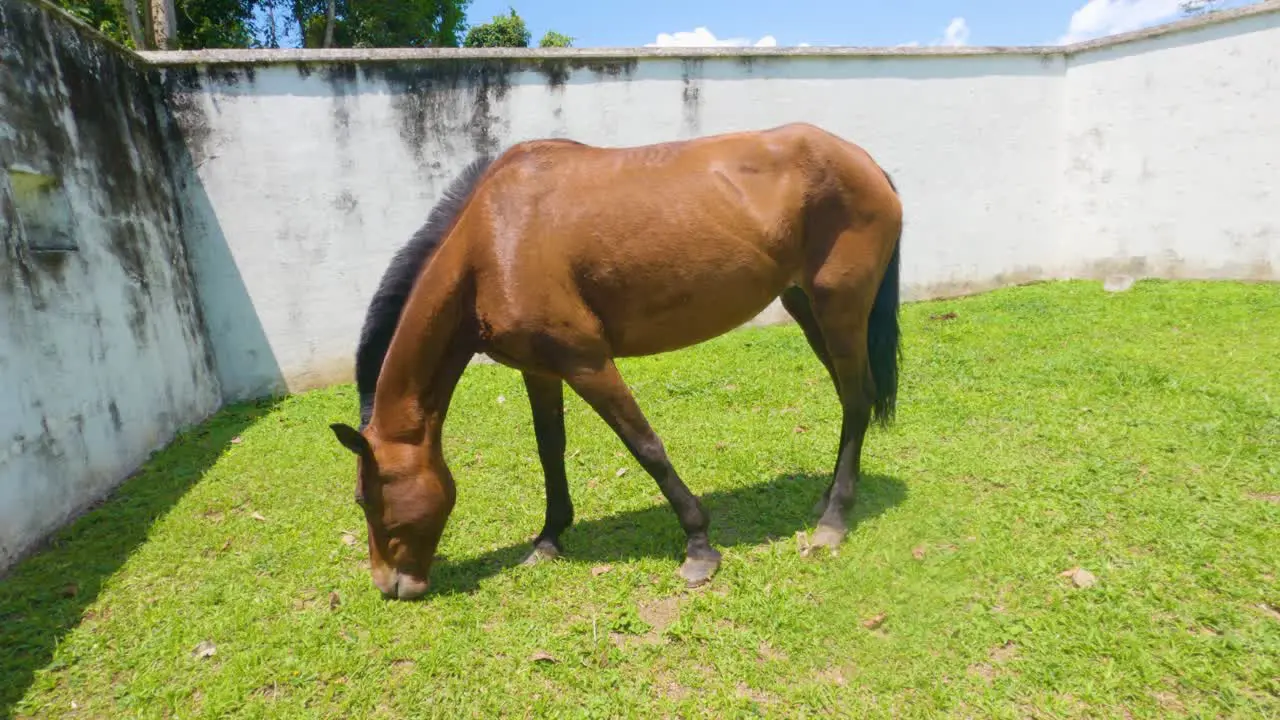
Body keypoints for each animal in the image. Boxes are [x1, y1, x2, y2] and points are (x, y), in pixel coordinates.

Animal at [335, 120, 906, 597]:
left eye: (366, 500)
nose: (390, 585)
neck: (492, 243)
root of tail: (865, 162)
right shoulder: (539, 370)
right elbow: (550, 450)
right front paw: (548, 539)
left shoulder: (586, 361)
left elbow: (645, 446)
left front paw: (699, 548)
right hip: (808, 308)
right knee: (850, 398)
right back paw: (828, 499)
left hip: (839, 309)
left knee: (857, 401)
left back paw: (833, 522)